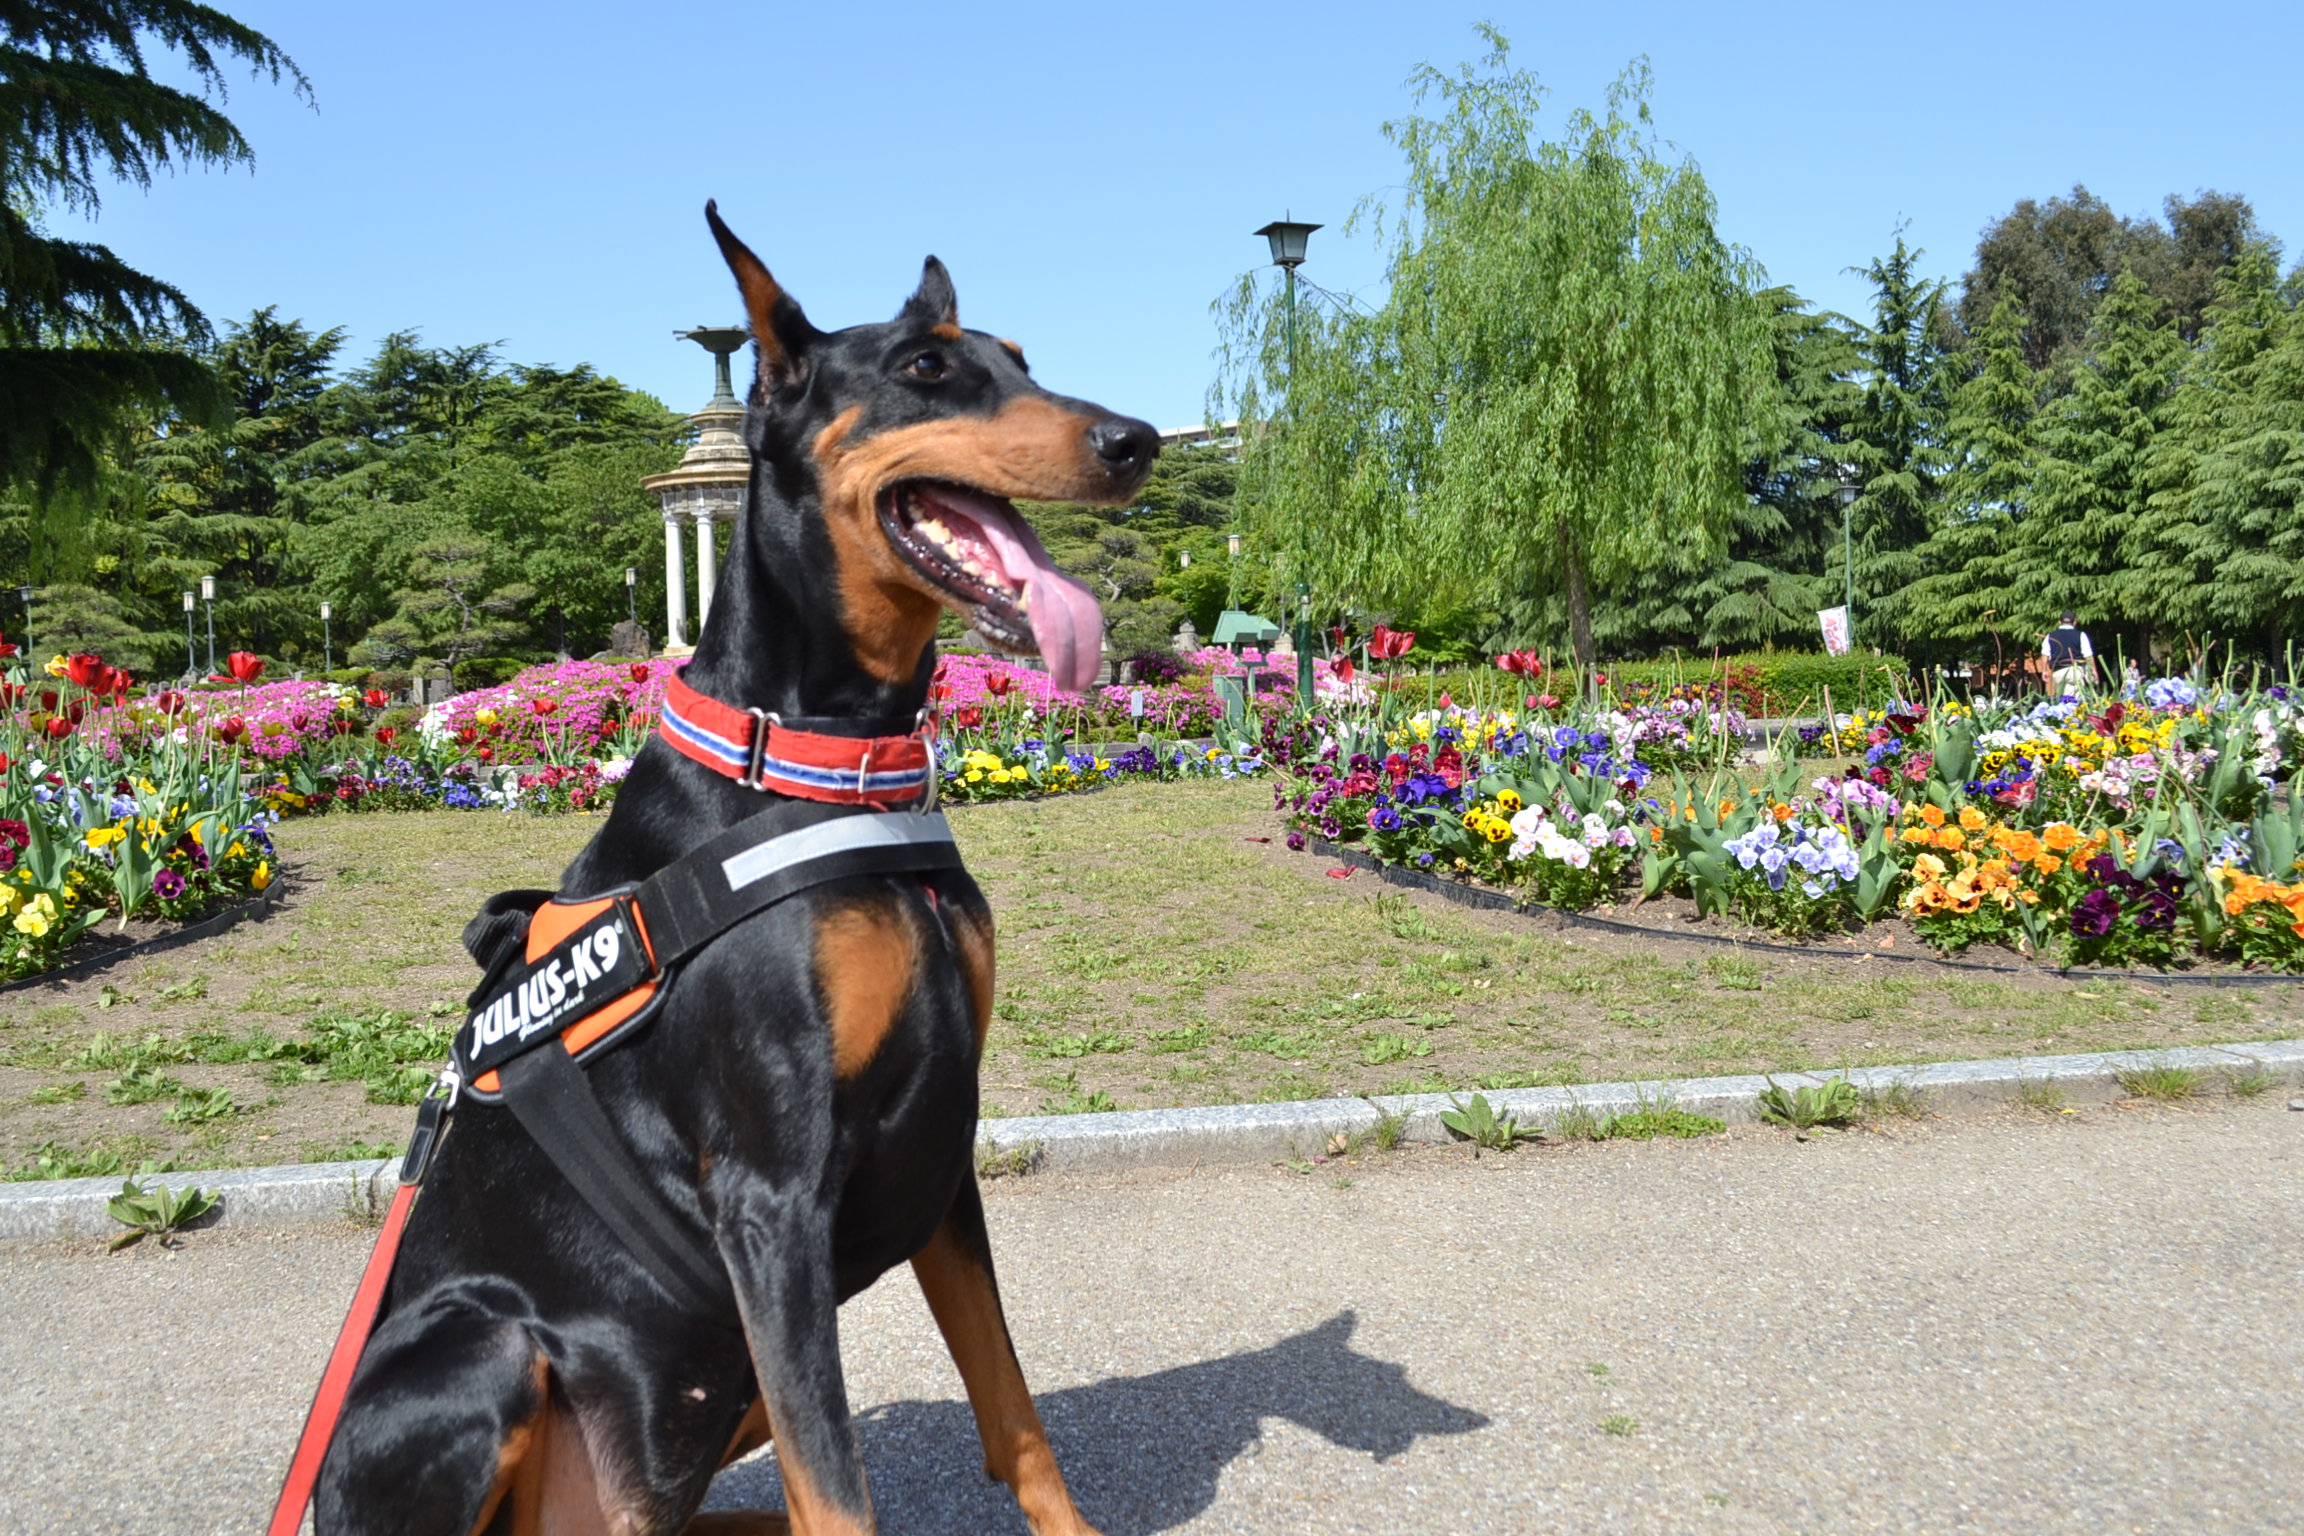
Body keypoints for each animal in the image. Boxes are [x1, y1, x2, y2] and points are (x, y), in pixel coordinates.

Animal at [311, 207, 1152, 1536]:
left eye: (1021, 357)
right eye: (927, 368)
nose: (1136, 441)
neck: (834, 758)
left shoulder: (939, 1144)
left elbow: (1015, 1414)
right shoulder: (769, 1190)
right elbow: (837, 1485)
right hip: (480, 1341)